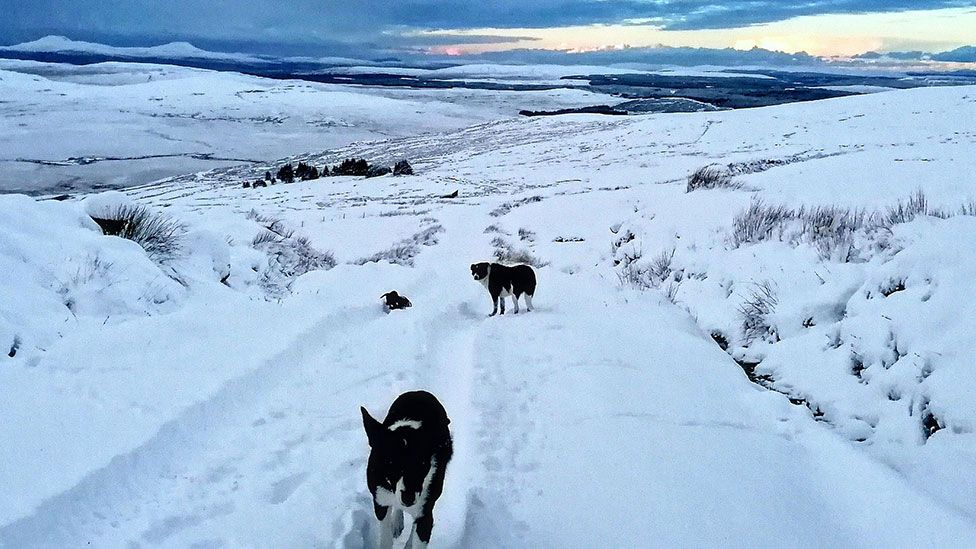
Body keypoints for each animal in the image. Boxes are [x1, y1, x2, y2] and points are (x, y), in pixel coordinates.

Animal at [360, 390, 452, 548]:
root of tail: (419, 392)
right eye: (390, 463)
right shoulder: (380, 500)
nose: (408, 498)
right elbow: (385, 539)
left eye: (422, 464)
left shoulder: (425, 511)